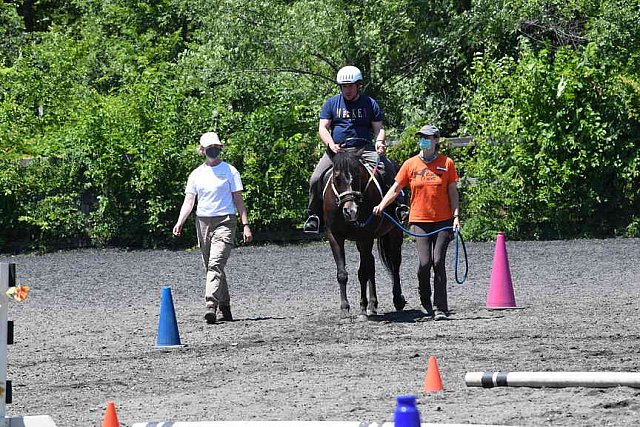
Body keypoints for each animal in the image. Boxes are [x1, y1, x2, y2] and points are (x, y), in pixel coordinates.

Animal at [322, 147, 408, 318]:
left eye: (357, 176)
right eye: (337, 177)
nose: (351, 211)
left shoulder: (365, 236)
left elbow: (362, 273)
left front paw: (362, 307)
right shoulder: (335, 236)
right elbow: (342, 274)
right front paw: (344, 308)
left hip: (394, 233)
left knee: (395, 263)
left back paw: (397, 299)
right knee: (372, 264)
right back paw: (373, 304)